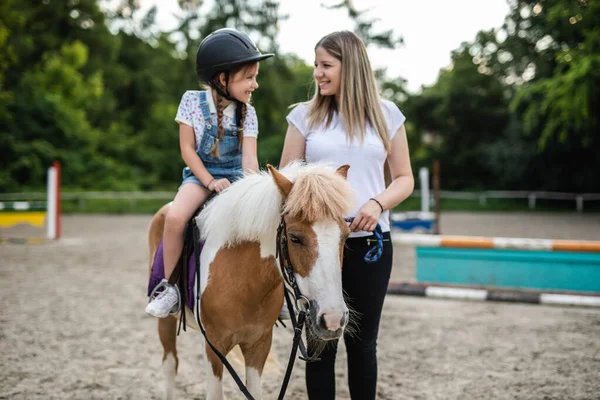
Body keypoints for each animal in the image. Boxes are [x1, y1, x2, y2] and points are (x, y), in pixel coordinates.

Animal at [149, 161, 356, 398]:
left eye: (346, 235)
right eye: (295, 238)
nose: (333, 319)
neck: (245, 284)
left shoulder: (259, 344)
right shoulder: (213, 345)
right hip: (166, 322)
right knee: (170, 365)